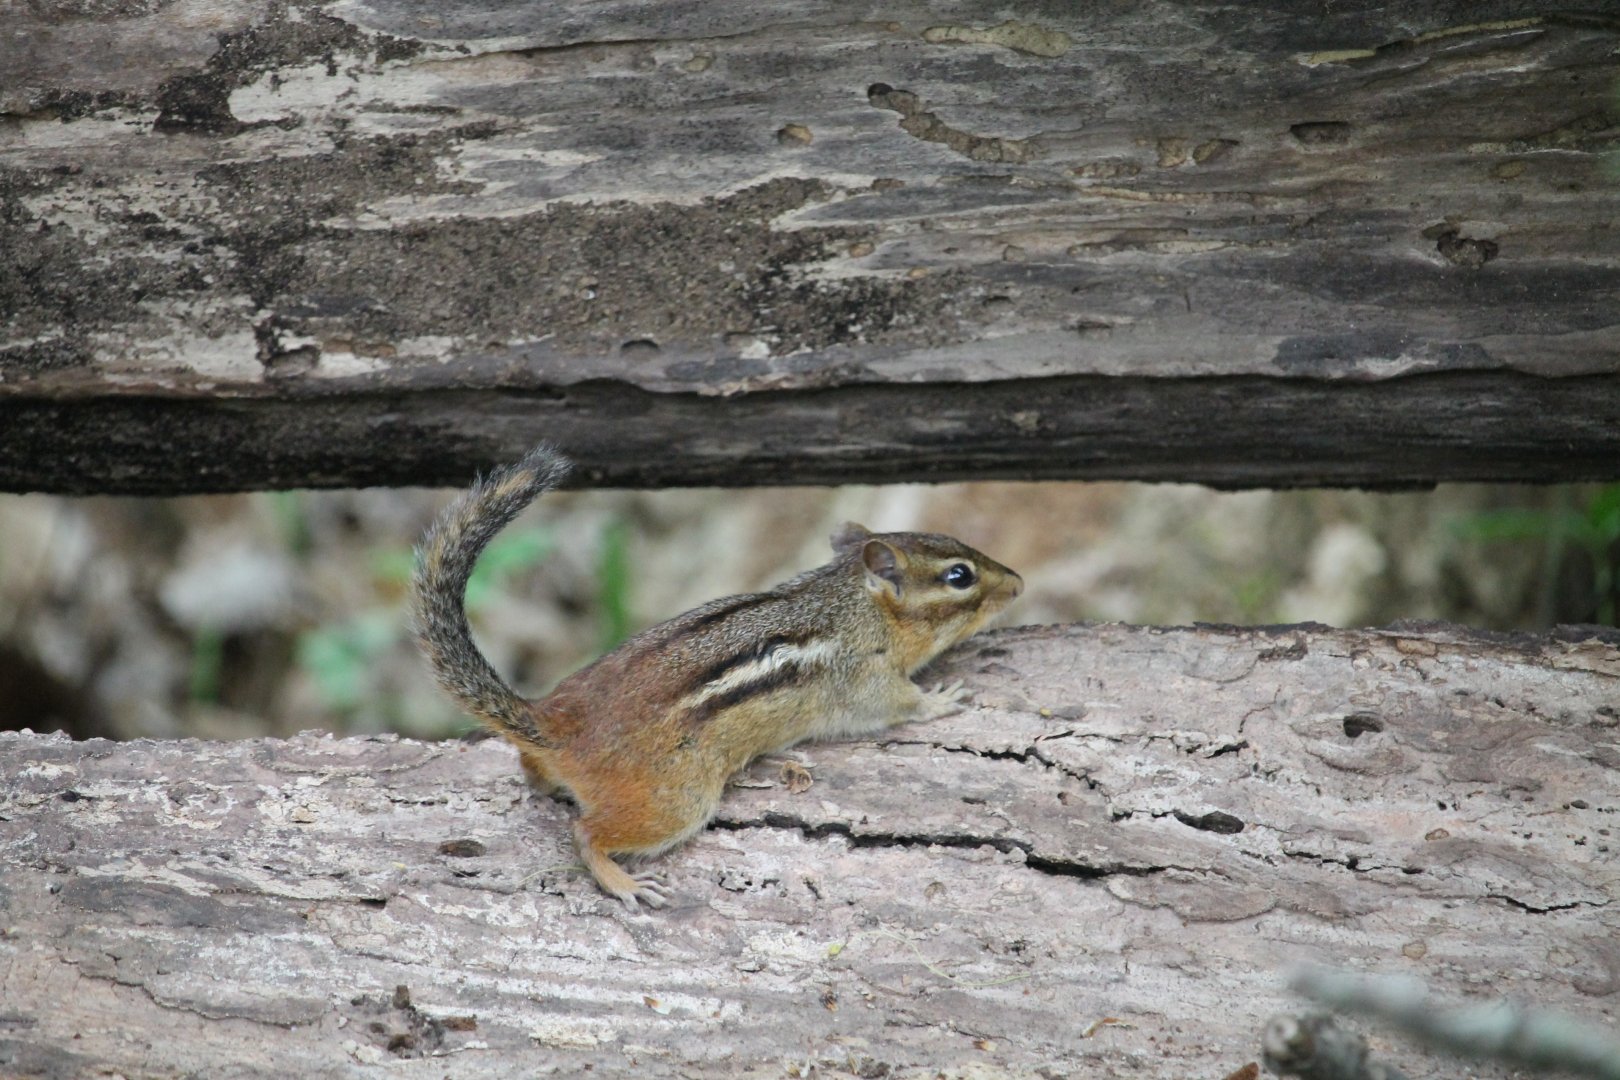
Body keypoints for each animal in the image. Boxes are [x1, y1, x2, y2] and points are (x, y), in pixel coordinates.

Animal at [411, 444, 1022, 909]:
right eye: (960, 576)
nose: (1017, 583)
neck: (855, 604)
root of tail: (555, 722)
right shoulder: (867, 679)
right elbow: (901, 704)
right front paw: (944, 697)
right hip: (678, 802)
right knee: (586, 832)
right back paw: (622, 882)